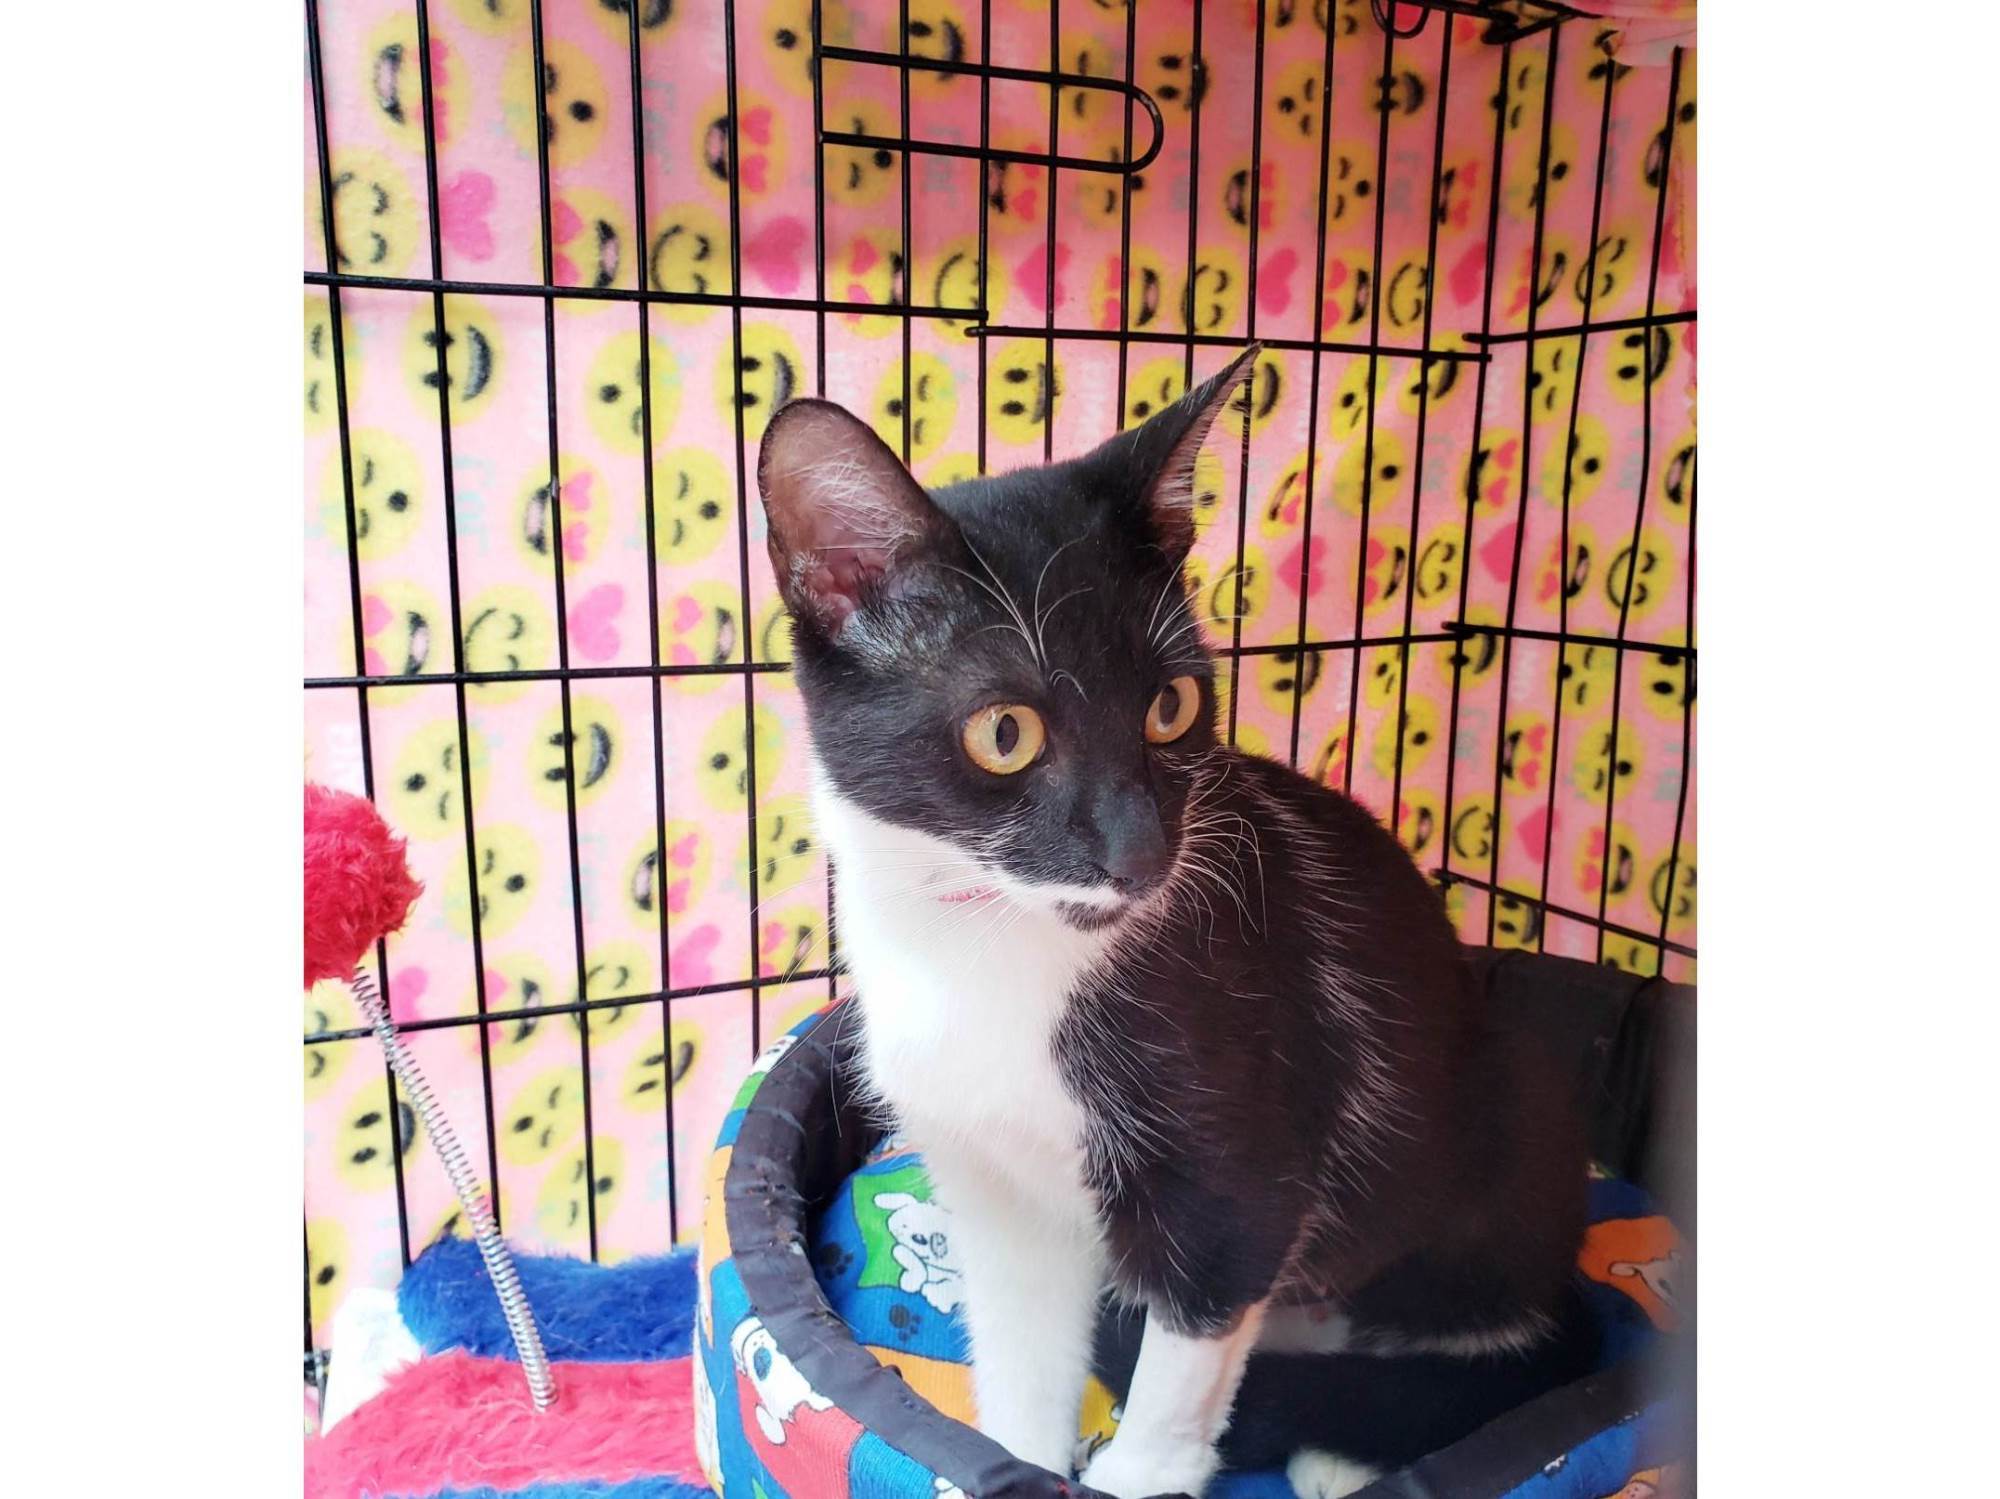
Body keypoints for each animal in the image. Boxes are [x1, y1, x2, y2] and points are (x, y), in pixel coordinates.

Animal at [756, 347, 1589, 1499]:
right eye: (1005, 732)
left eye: (1171, 708)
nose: (1142, 851)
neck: (995, 946)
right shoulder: (991, 1179)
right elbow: (1021, 1346)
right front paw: (1010, 1458)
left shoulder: (1240, 1144)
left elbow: (1196, 1327)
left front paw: (1141, 1466)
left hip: (1506, 1107)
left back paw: (1348, 1436)